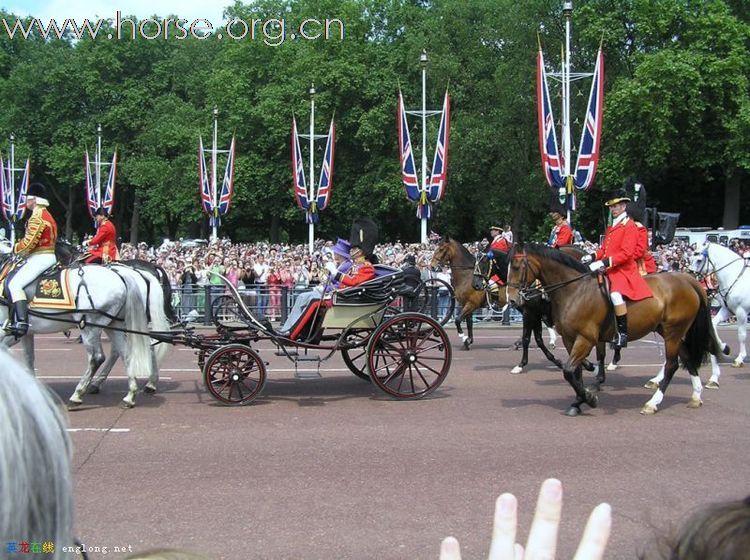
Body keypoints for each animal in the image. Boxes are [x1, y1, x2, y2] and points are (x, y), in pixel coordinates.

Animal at [1, 264, 154, 406]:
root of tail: (120, 275)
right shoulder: (25, 333)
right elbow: (28, 359)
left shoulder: (7, 333)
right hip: (113, 325)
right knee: (126, 354)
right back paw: (130, 395)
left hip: (90, 326)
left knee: (97, 358)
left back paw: (77, 395)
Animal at [506, 244, 728, 416]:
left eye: (516, 266)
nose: (512, 300)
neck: (576, 290)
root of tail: (688, 279)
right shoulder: (570, 339)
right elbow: (574, 372)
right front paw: (579, 401)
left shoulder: (585, 338)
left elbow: (569, 371)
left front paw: (589, 397)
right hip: (669, 332)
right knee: (687, 358)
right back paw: (696, 395)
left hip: (673, 332)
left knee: (672, 365)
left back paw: (652, 403)